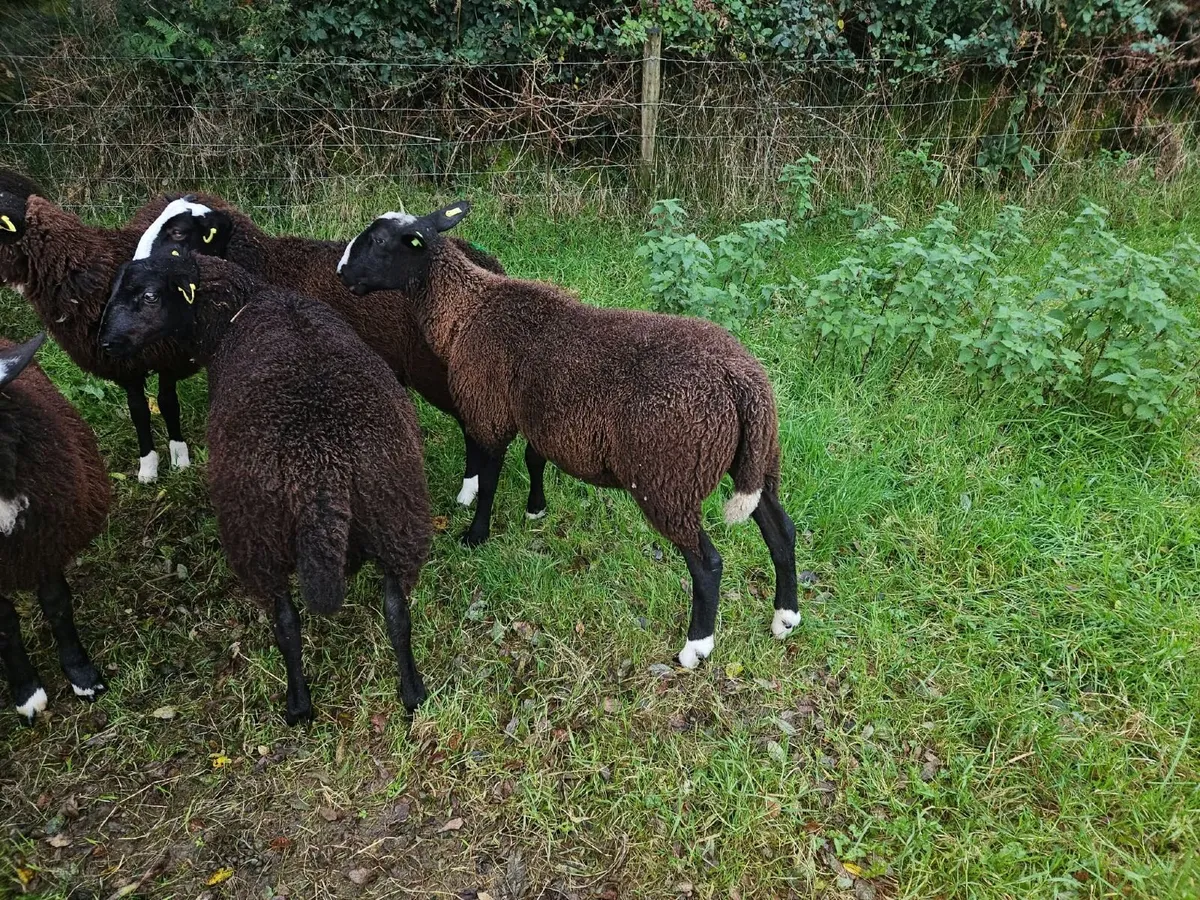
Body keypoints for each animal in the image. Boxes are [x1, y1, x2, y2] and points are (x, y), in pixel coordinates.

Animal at [0, 171, 198, 482]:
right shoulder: (124, 366)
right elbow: (138, 412)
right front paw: (148, 468)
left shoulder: (169, 354)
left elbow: (167, 402)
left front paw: (180, 459)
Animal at [99, 252, 433, 724]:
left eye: (148, 296)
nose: (107, 345)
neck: (239, 309)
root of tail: (322, 467)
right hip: (395, 513)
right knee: (396, 610)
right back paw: (412, 692)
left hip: (258, 533)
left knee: (287, 621)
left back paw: (298, 704)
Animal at [129, 192, 548, 532]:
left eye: (178, 233)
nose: (134, 272)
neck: (264, 266)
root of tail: (490, 271)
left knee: (473, 428)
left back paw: (468, 493)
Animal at [337, 202, 801, 668]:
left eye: (379, 241)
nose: (341, 273)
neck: (468, 309)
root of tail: (740, 382)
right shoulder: (539, 416)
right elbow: (534, 460)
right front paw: (536, 509)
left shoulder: (489, 410)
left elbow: (489, 479)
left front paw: (475, 535)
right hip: (757, 459)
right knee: (782, 531)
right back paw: (785, 618)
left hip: (668, 478)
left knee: (708, 564)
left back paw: (695, 647)